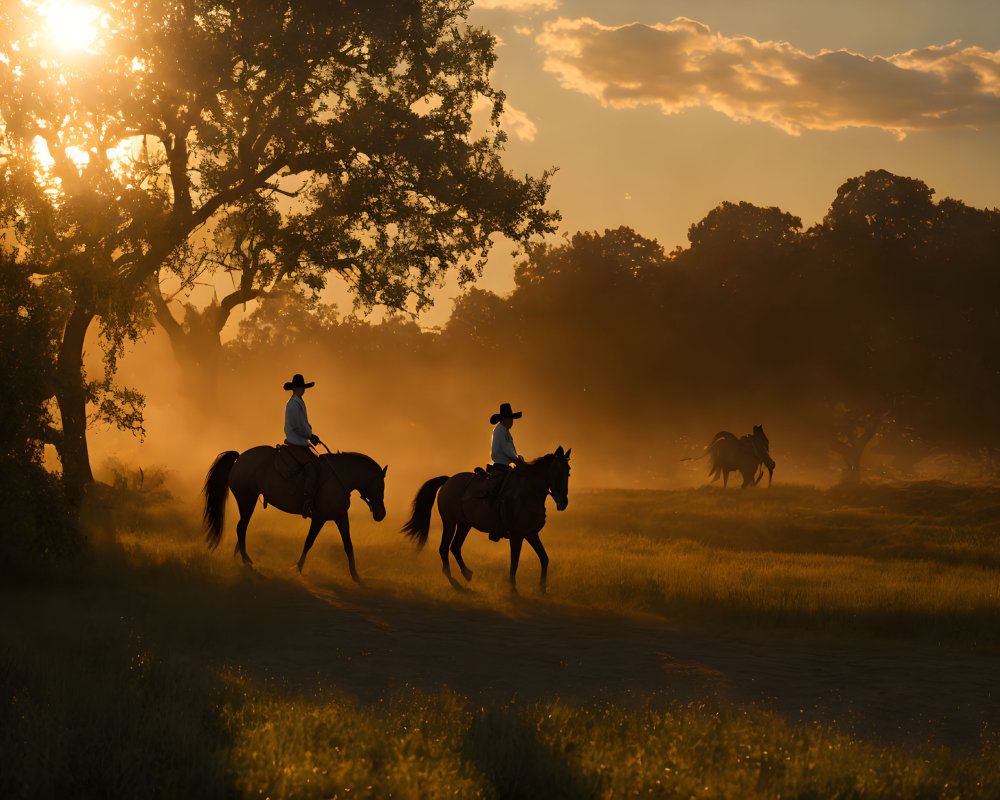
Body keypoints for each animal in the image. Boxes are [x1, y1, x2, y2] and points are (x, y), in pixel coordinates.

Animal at [203, 444, 386, 580]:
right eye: (381, 486)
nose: (381, 514)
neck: (340, 479)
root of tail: (239, 458)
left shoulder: (341, 516)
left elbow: (348, 545)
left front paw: (356, 576)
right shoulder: (320, 518)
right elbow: (309, 542)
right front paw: (297, 568)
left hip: (248, 502)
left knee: (242, 527)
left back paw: (241, 558)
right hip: (246, 500)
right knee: (241, 527)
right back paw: (246, 560)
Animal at [398, 446, 572, 592]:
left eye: (569, 472)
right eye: (558, 471)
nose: (563, 502)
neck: (528, 494)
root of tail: (448, 480)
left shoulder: (531, 534)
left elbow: (544, 558)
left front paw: (542, 588)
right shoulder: (516, 536)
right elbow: (514, 561)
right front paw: (513, 588)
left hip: (464, 524)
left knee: (455, 547)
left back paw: (467, 573)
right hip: (450, 523)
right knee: (444, 548)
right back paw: (454, 580)